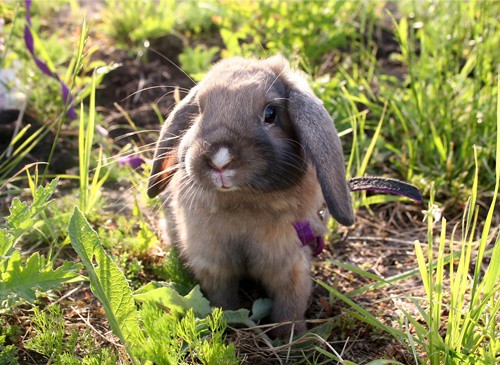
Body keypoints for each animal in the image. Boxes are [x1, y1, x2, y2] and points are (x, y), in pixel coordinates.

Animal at [146, 55, 354, 336]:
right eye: (199, 110)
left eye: (270, 113)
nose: (220, 161)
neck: (243, 200)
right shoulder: (212, 261)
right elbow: (221, 295)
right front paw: (225, 319)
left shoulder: (288, 263)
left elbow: (291, 303)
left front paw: (293, 337)